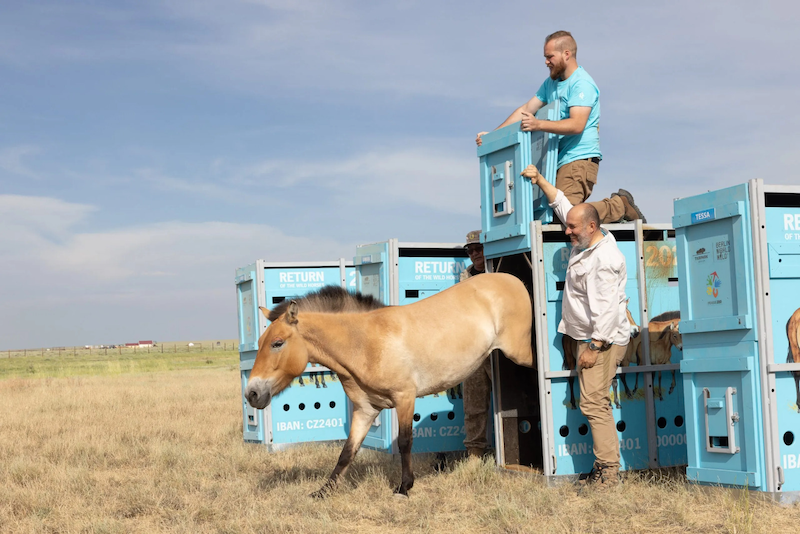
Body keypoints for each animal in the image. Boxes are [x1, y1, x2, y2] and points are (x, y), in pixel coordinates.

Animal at [242, 274, 532, 500]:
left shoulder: (405, 398)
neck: (365, 342)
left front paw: (404, 488)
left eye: (277, 343)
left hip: (520, 354)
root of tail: (512, 280)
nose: (252, 393)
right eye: (261, 341)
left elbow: (404, 442)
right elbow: (347, 452)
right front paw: (323, 491)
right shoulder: (365, 410)